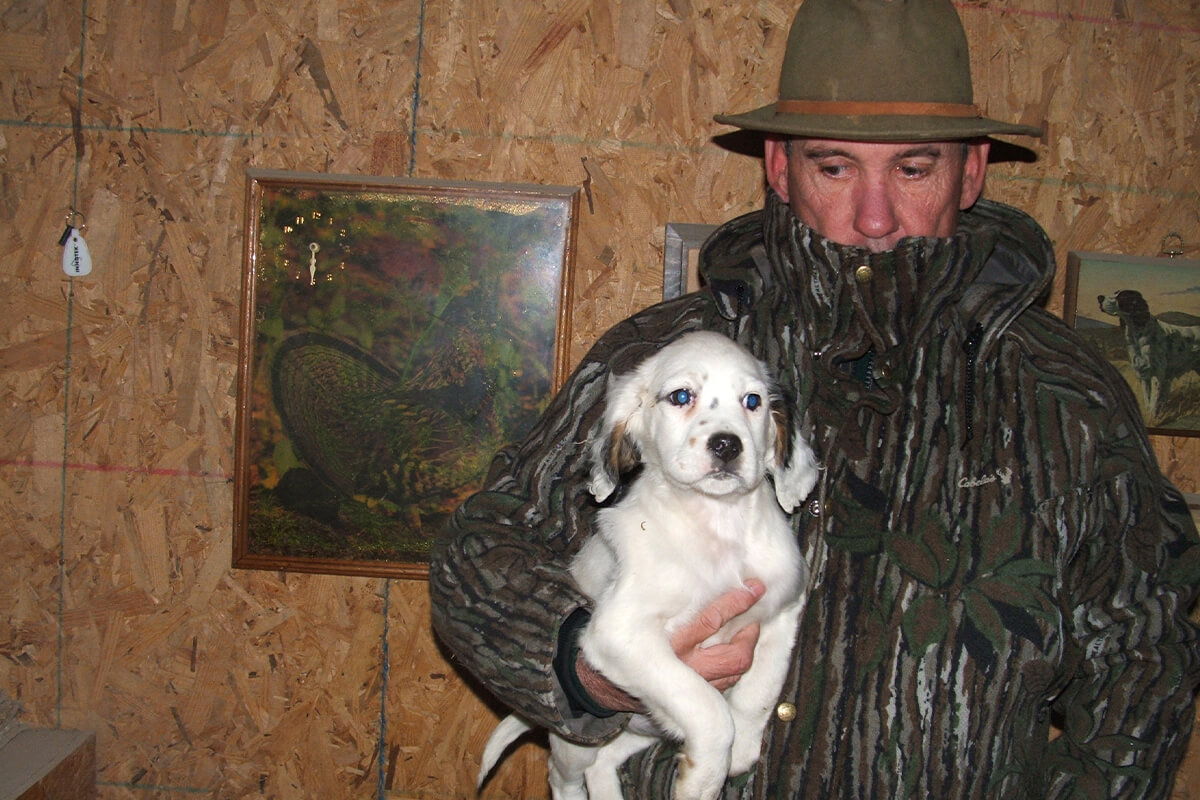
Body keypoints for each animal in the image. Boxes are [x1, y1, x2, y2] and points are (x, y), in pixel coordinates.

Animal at [472, 331, 820, 800]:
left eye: (753, 401)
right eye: (681, 396)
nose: (728, 444)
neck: (718, 527)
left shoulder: (784, 605)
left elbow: (761, 687)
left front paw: (744, 747)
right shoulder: (620, 635)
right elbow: (708, 708)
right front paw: (704, 779)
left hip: (639, 727)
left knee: (603, 763)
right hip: (576, 737)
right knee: (564, 776)